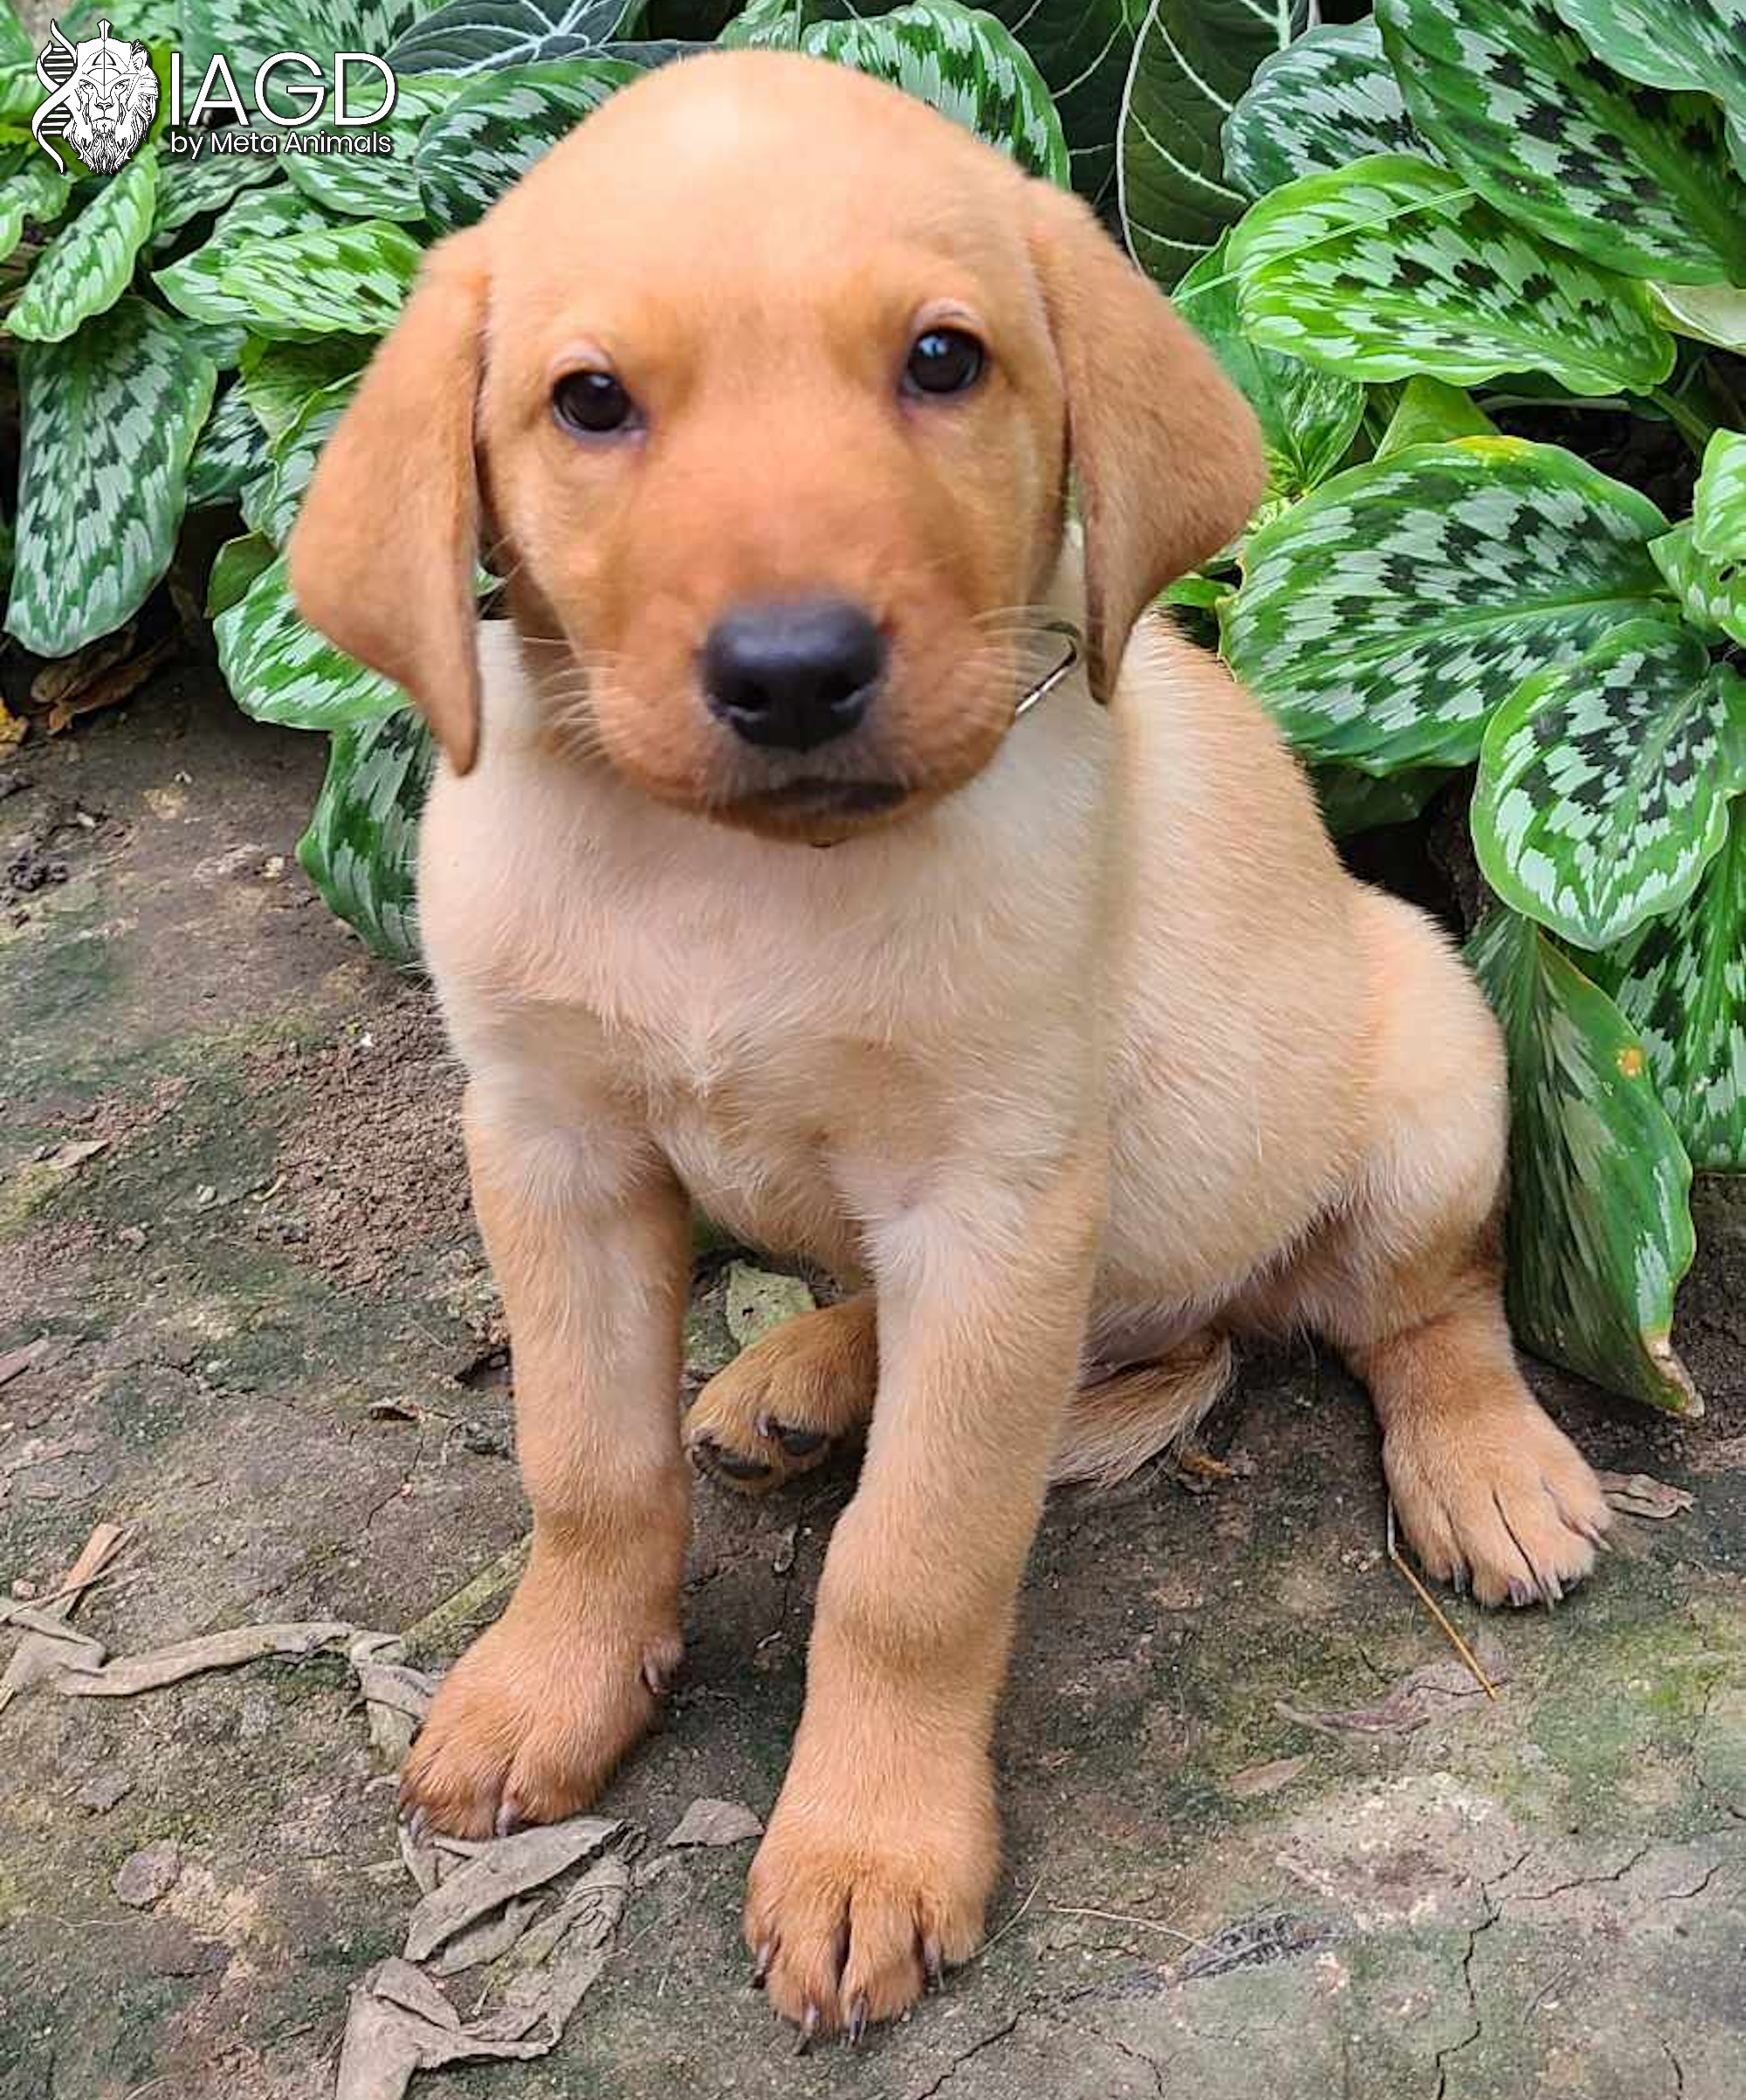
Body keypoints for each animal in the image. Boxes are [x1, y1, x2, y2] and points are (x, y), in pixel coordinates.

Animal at [289, 49, 1612, 2042]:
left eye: (941, 360)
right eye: (589, 401)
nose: (792, 669)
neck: (738, 880)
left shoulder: (992, 1207)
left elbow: (908, 1566)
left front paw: (865, 1848)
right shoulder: (548, 1142)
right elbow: (585, 1467)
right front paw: (550, 1681)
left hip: (1430, 1050)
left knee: (1423, 1306)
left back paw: (1489, 1466)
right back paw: (802, 1371)